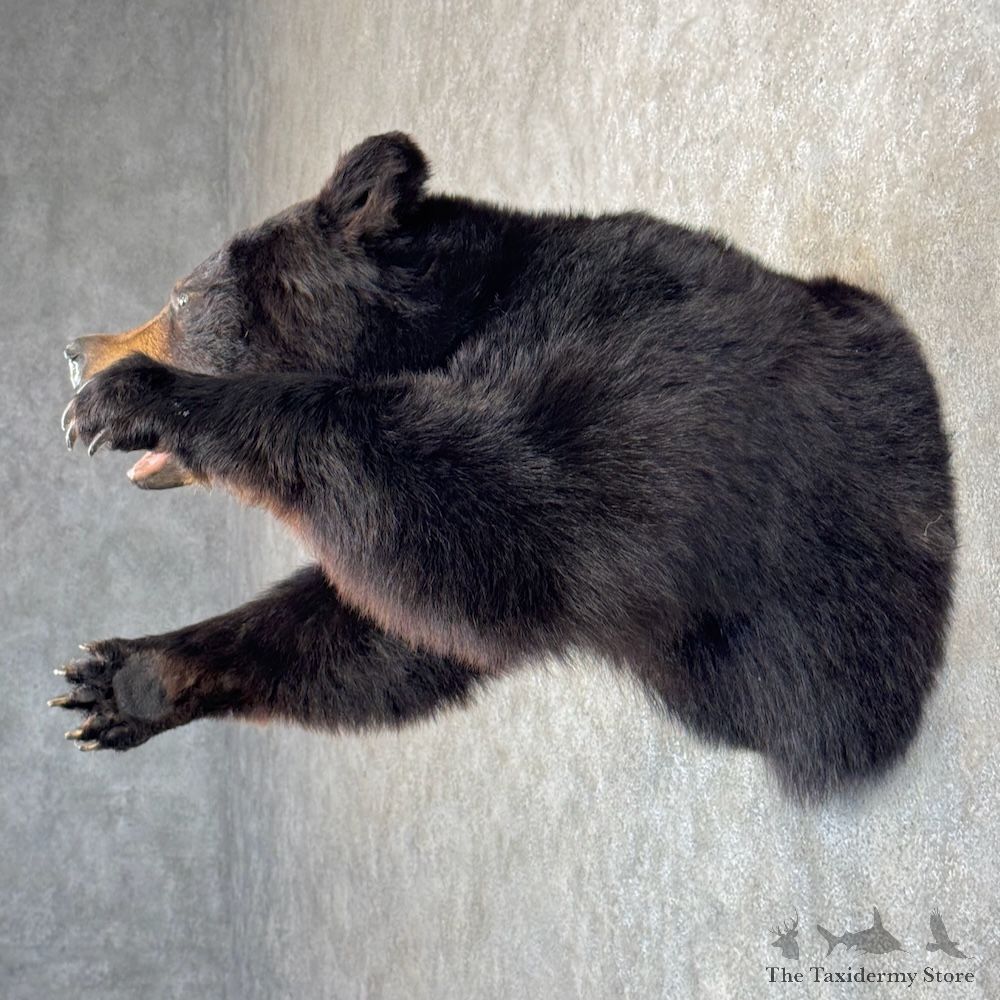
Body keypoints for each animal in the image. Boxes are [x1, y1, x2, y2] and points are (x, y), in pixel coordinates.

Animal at [52, 132, 955, 799]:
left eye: (184, 296)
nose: (74, 351)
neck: (450, 324)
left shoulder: (627, 352)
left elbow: (514, 521)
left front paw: (134, 400)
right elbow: (387, 625)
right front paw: (117, 680)